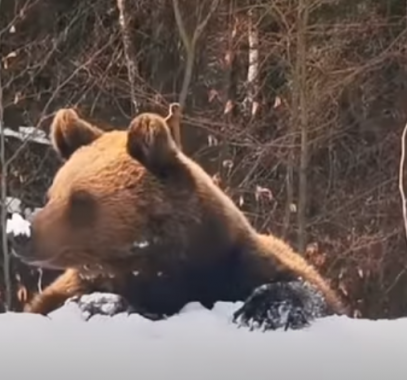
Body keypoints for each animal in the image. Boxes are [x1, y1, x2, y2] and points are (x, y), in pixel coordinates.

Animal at [8, 103, 348, 330]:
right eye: (52, 195)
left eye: (81, 200)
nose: (20, 236)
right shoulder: (70, 289)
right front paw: (100, 304)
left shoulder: (233, 268)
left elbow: (308, 292)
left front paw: (261, 312)